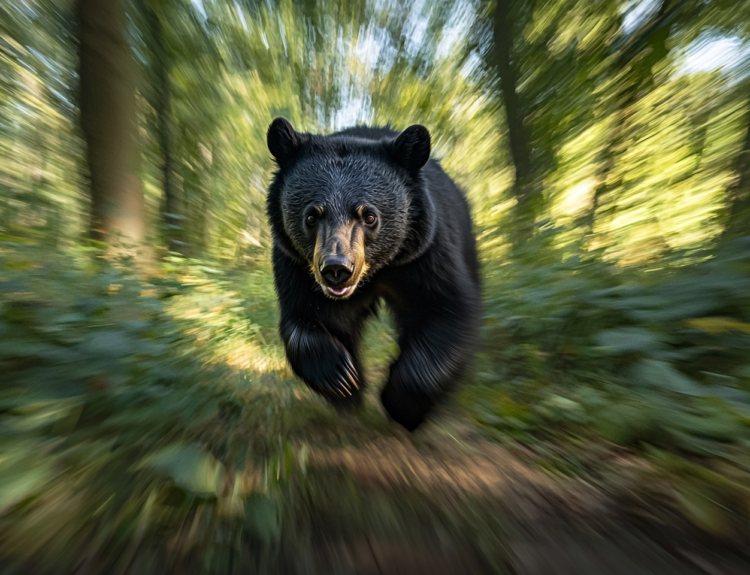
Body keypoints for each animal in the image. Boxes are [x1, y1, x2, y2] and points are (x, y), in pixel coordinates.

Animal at [268, 118, 482, 432]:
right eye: (311, 216)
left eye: (369, 216)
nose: (336, 269)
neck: (379, 270)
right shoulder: (296, 264)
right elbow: (305, 316)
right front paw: (342, 380)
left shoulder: (426, 253)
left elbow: (447, 309)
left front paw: (401, 405)